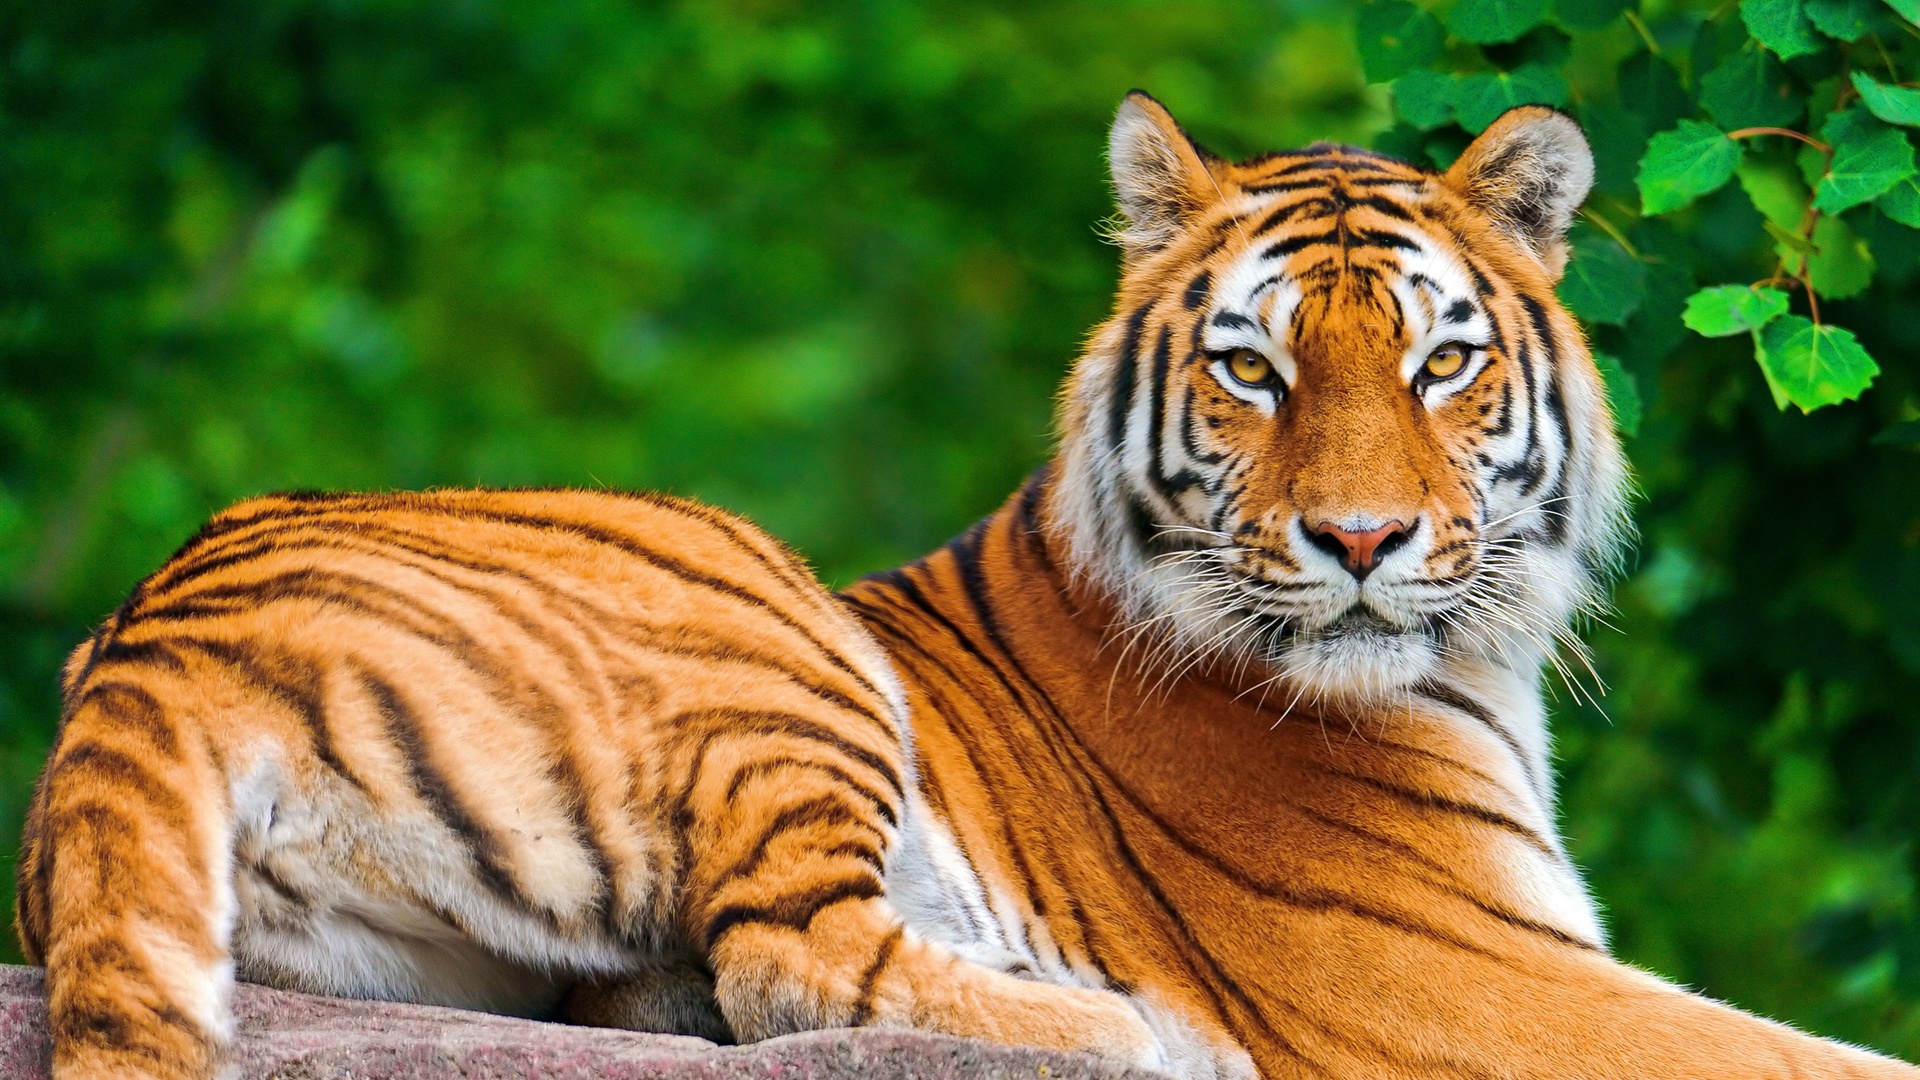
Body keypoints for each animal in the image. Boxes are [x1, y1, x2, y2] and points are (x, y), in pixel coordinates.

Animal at [16, 93, 1917, 1080]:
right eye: (1256, 371)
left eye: (1441, 364)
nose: (1364, 544)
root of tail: (147, 638)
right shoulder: (1463, 977)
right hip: (766, 620)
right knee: (791, 960)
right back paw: (1125, 1029)